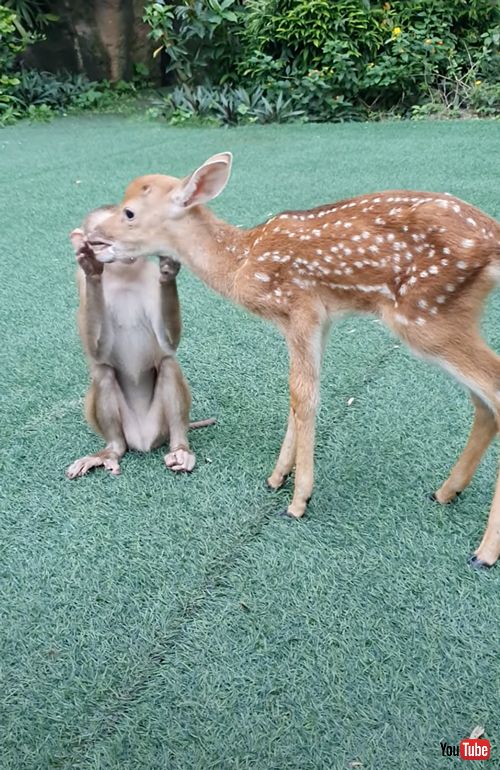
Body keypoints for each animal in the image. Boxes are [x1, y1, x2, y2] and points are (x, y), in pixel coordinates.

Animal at [85, 152, 500, 568]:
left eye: (129, 212)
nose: (92, 238)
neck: (242, 261)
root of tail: (493, 239)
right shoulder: (318, 320)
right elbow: (296, 397)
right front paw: (277, 478)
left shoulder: (301, 306)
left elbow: (304, 396)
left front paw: (299, 500)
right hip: (449, 317)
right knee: (482, 403)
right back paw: (446, 492)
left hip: (425, 314)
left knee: (492, 389)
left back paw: (484, 551)